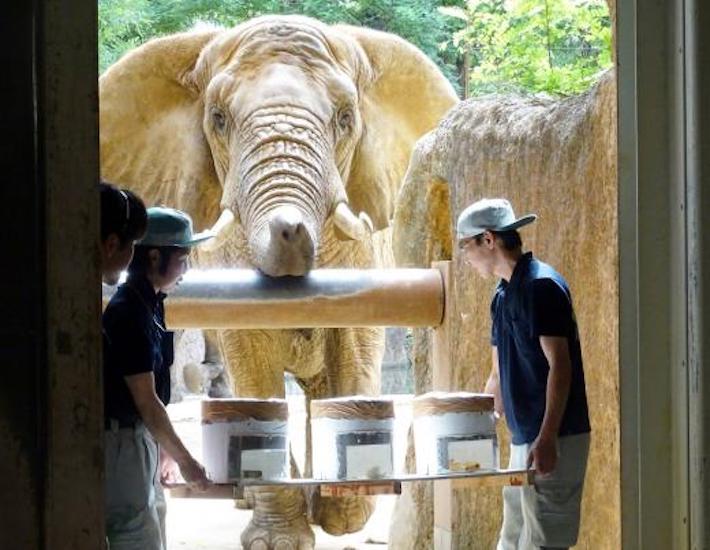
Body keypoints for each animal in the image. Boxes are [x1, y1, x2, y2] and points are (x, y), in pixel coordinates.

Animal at [100, 14, 458, 550]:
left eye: (345, 118)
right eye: (219, 119)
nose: (288, 229)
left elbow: (355, 341)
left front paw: (342, 514)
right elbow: (251, 352)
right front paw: (279, 539)